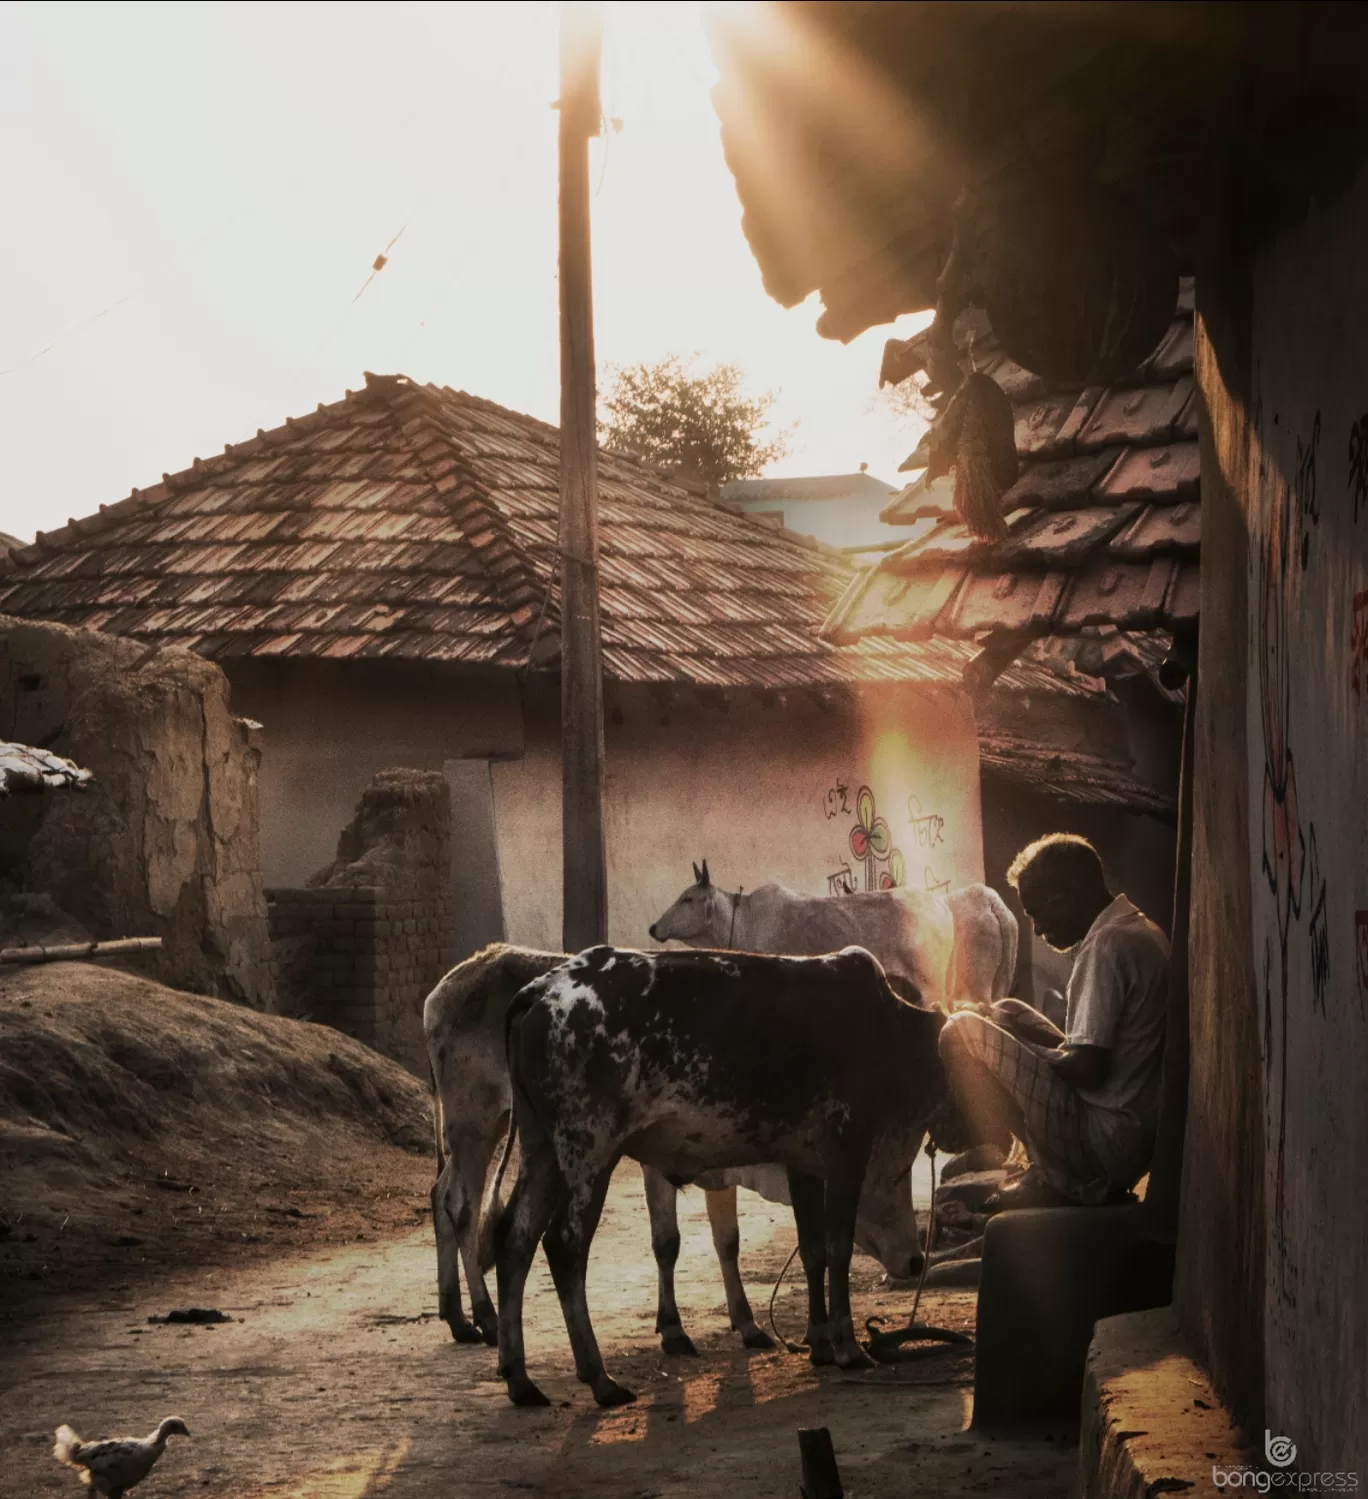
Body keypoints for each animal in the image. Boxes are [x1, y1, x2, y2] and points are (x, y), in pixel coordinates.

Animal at [491, 947, 952, 1403]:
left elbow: (812, 1250)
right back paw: (599, 1378)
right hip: (589, 1153)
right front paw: (848, 1347)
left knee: (515, 1238)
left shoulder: (803, 1163)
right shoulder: (847, 1151)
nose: (916, 1261)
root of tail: (539, 991)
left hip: (541, 1150)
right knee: (564, 1244)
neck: (887, 1024)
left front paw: (819, 1343)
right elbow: (837, 1249)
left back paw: (520, 1378)